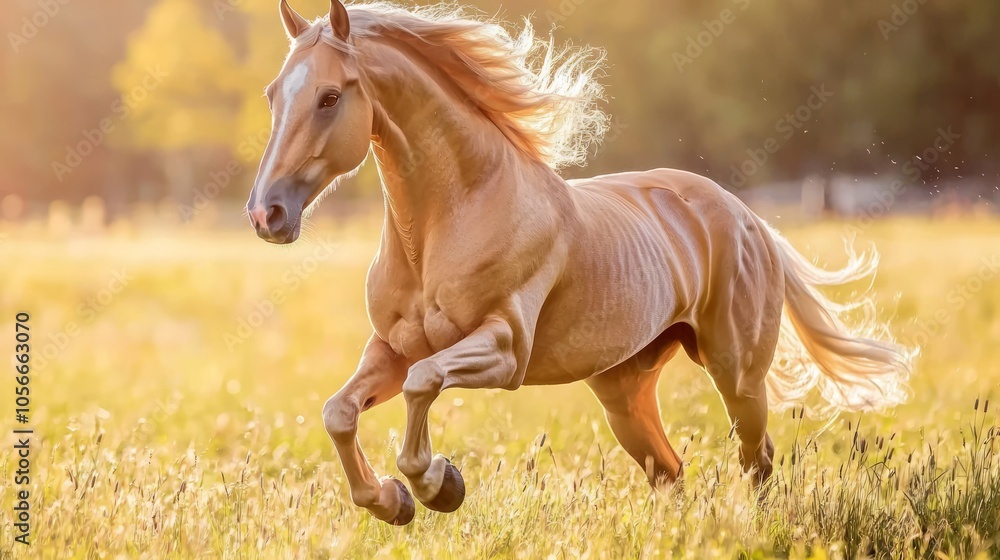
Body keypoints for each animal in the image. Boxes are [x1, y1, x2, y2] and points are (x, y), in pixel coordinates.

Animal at [245, 0, 913, 526]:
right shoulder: (390, 348)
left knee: (757, 459)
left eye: (330, 96)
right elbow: (339, 412)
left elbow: (423, 385)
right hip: (623, 393)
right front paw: (391, 502)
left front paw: (438, 486)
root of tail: (747, 218)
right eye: (274, 95)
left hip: (737, 374)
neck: (449, 222)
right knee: (670, 473)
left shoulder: (504, 350)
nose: (266, 214)